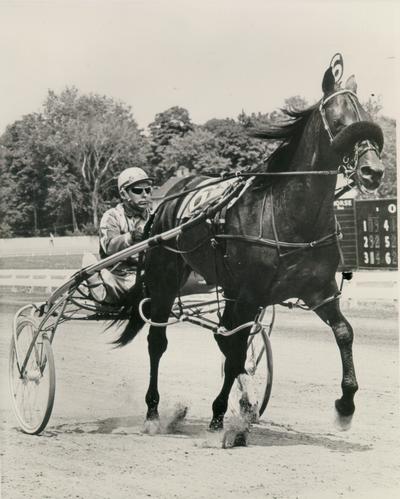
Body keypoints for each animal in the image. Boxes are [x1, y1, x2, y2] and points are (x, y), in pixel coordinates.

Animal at [115, 61, 384, 434]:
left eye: (365, 114)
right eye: (338, 117)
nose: (374, 170)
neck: (289, 214)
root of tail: (168, 196)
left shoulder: (318, 290)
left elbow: (344, 332)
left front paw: (345, 405)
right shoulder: (250, 294)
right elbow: (235, 352)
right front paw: (227, 414)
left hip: (226, 288)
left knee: (224, 338)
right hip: (165, 277)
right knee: (159, 342)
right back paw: (154, 412)